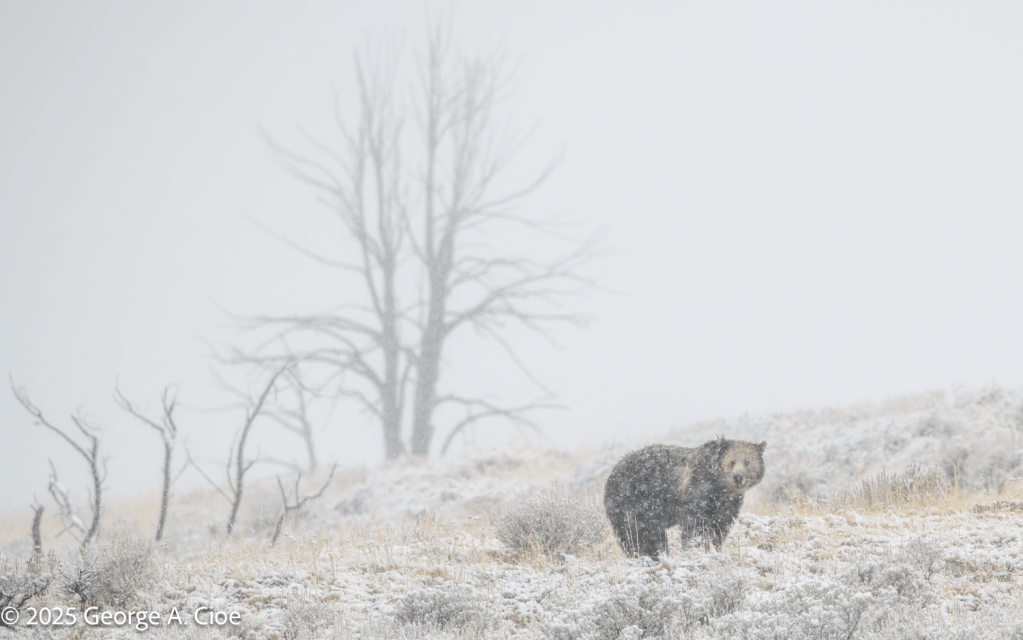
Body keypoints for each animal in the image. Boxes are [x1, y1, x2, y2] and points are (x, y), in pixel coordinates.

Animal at [603, 438, 766, 558]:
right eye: (732, 461)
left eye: (747, 461)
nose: (738, 477)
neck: (719, 488)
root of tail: (611, 473)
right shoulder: (697, 495)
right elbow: (695, 527)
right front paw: (697, 548)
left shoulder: (727, 505)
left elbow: (720, 527)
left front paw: (715, 547)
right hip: (631, 503)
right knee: (637, 534)